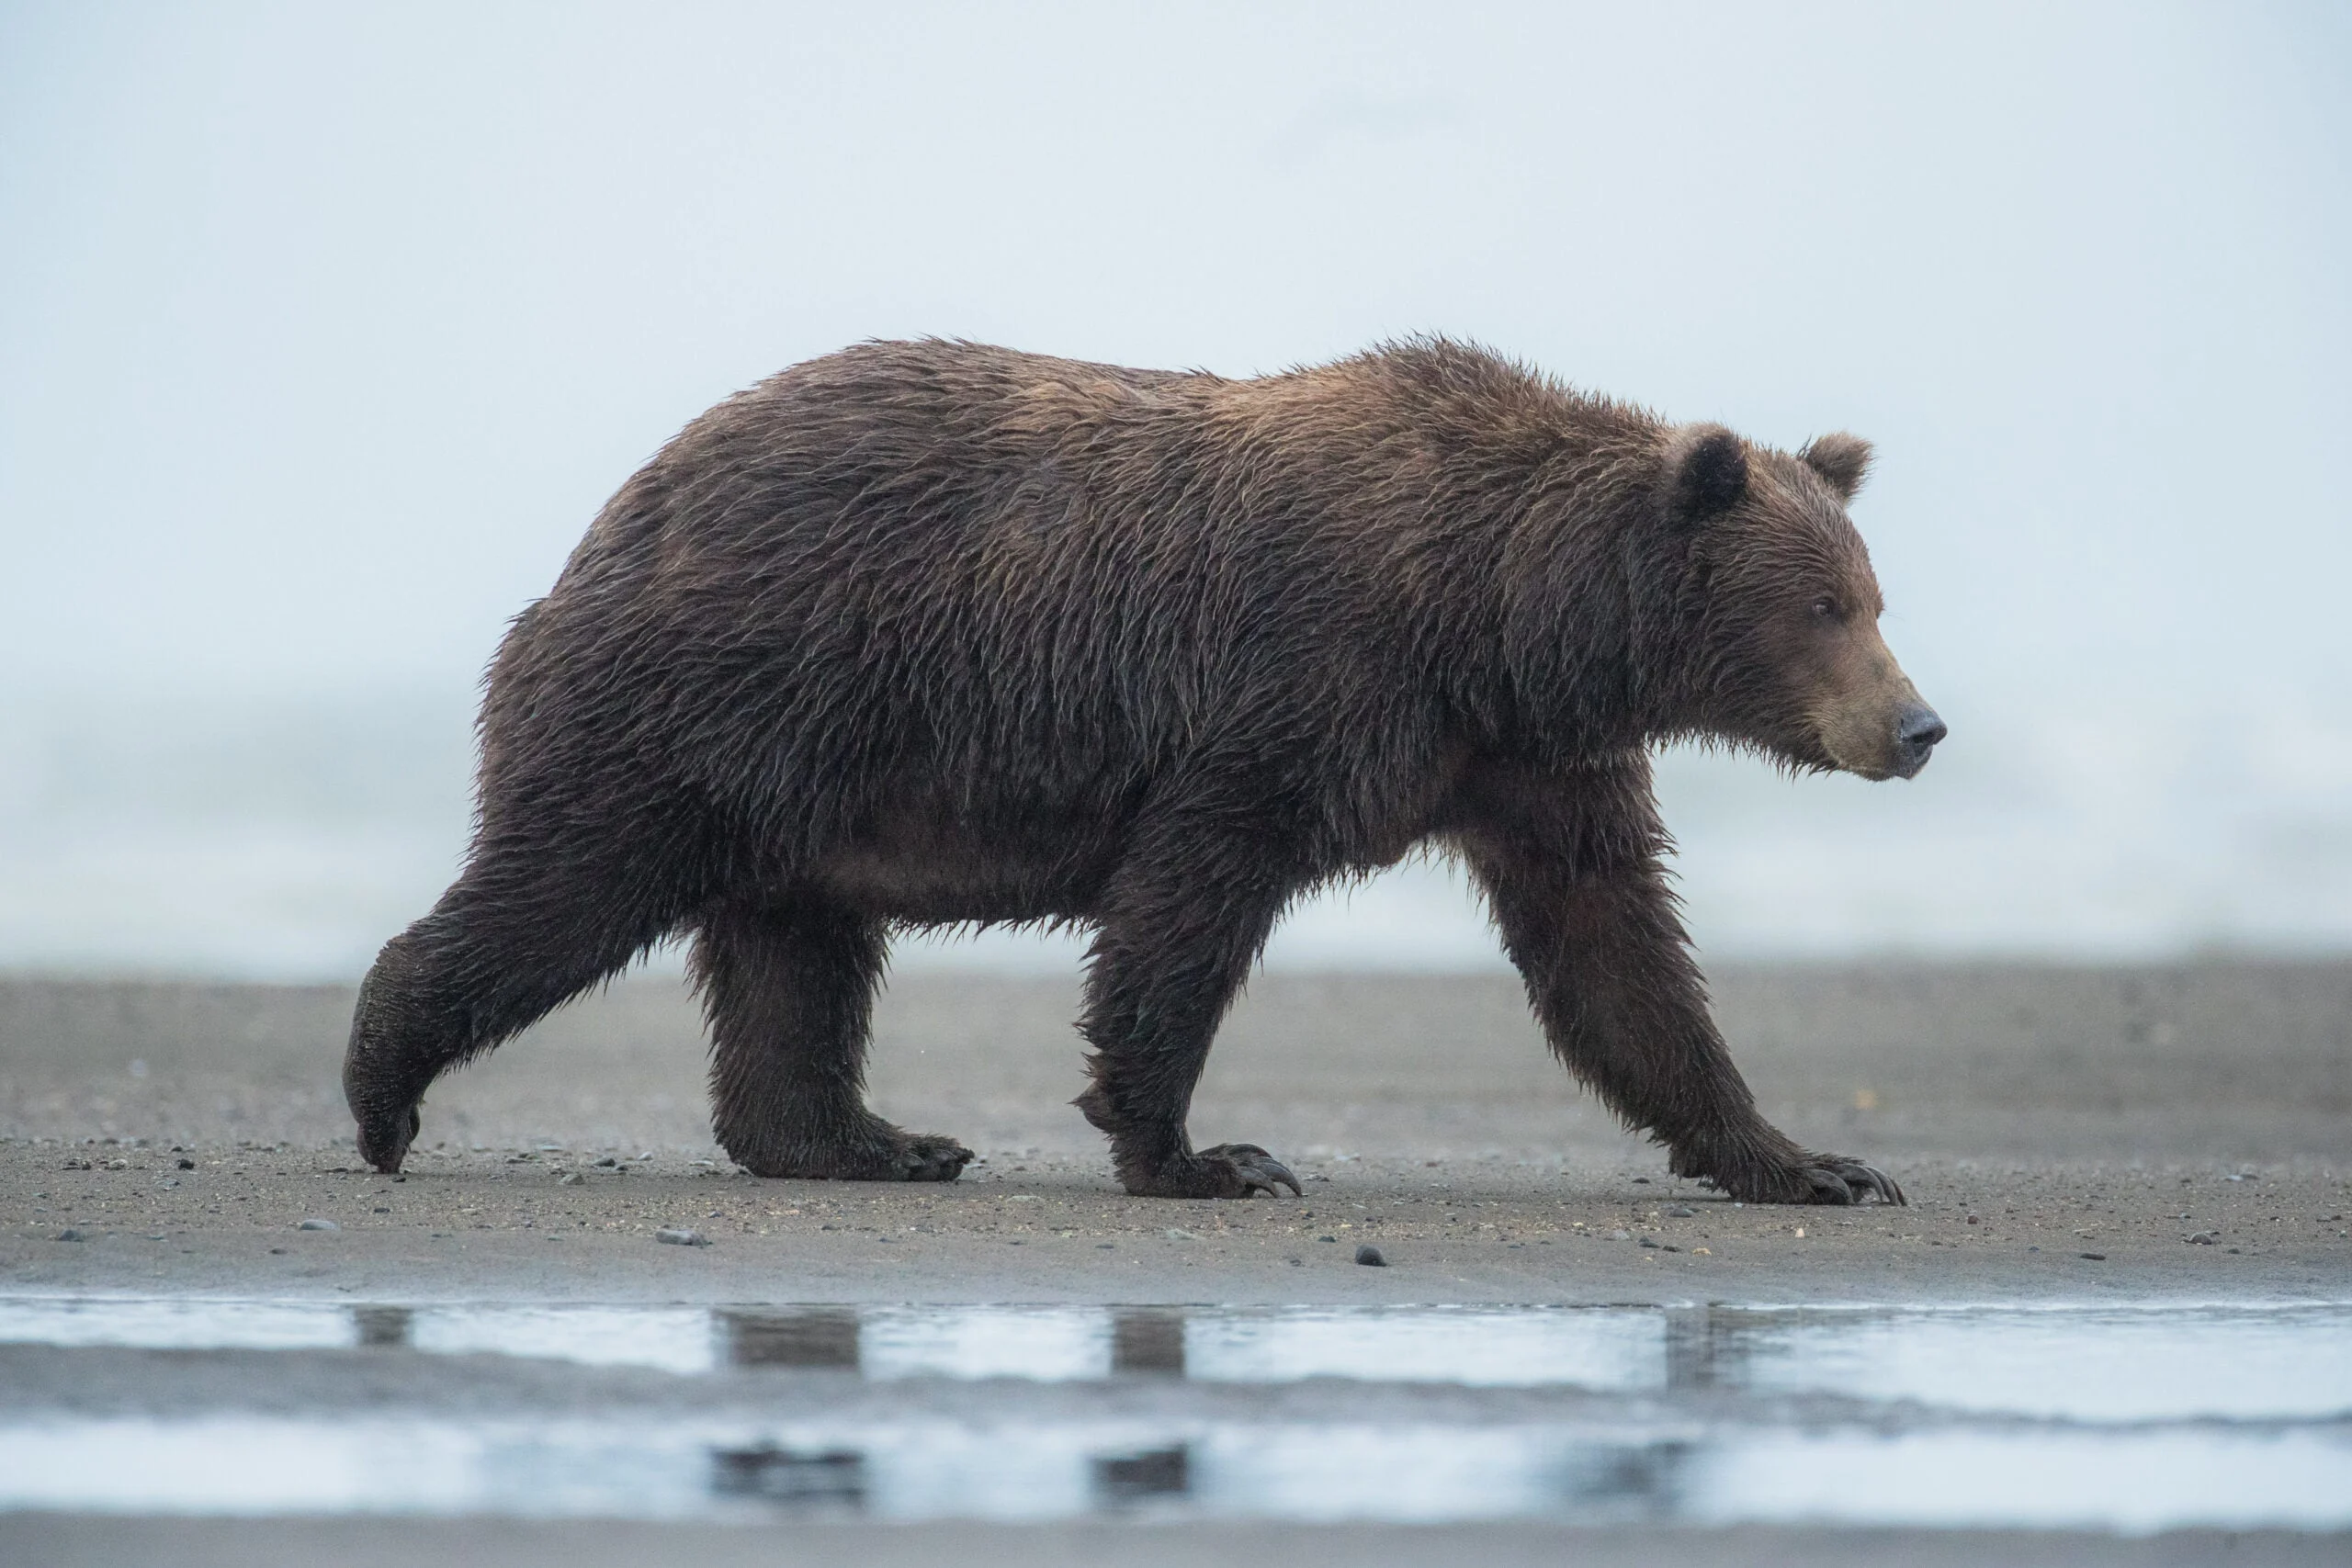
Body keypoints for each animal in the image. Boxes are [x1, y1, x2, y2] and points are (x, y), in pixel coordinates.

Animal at [341, 341, 1938, 1203]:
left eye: (1874, 593)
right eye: (1826, 605)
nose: (1918, 725)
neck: (1497, 618)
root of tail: (614, 515)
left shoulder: (1529, 759)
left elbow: (1617, 954)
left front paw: (1810, 1157)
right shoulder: (1298, 687)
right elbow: (1186, 906)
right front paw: (1205, 1150)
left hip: (806, 777)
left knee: (798, 956)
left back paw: (870, 1137)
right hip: (708, 701)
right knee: (564, 886)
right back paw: (381, 1089)